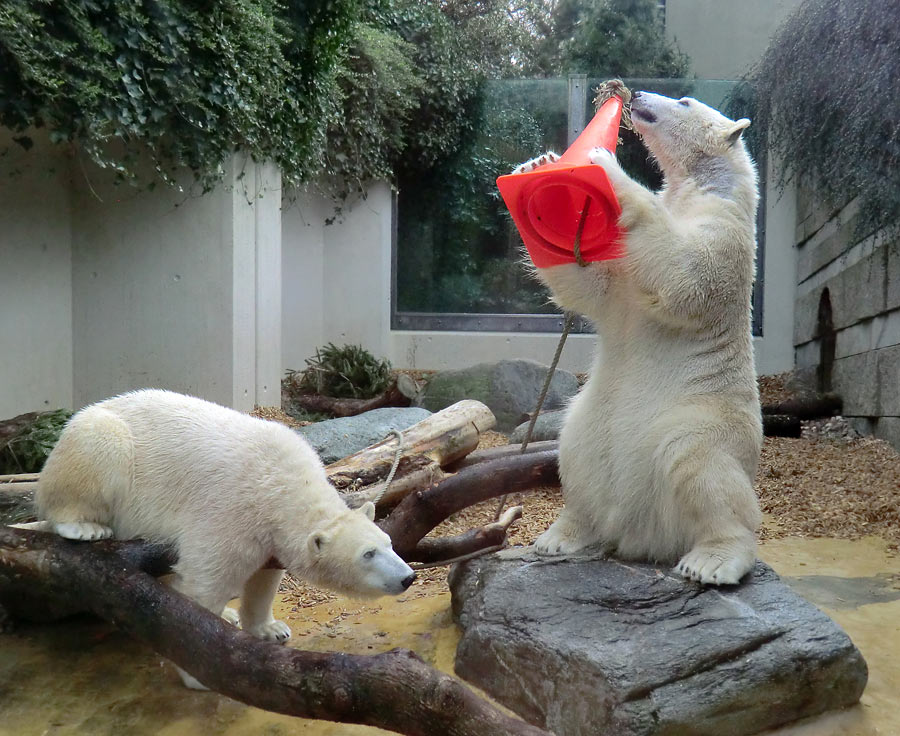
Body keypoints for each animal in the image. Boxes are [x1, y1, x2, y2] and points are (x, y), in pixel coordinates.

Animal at [20, 388, 414, 688]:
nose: (407, 577)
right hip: (97, 446)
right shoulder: (232, 506)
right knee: (94, 457)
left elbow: (264, 577)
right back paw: (84, 526)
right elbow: (207, 576)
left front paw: (271, 629)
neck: (282, 481)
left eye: (389, 543)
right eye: (368, 554)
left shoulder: (267, 529)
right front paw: (200, 671)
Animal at [524, 93, 764, 588]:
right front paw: (541, 163)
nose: (636, 96)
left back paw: (711, 561)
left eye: (685, 101)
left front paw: (605, 163)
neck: (701, 185)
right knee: (574, 448)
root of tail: (642, 533)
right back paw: (562, 534)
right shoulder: (626, 273)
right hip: (595, 418)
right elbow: (596, 287)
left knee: (700, 465)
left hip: (703, 417)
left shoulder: (727, 228)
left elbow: (688, 271)